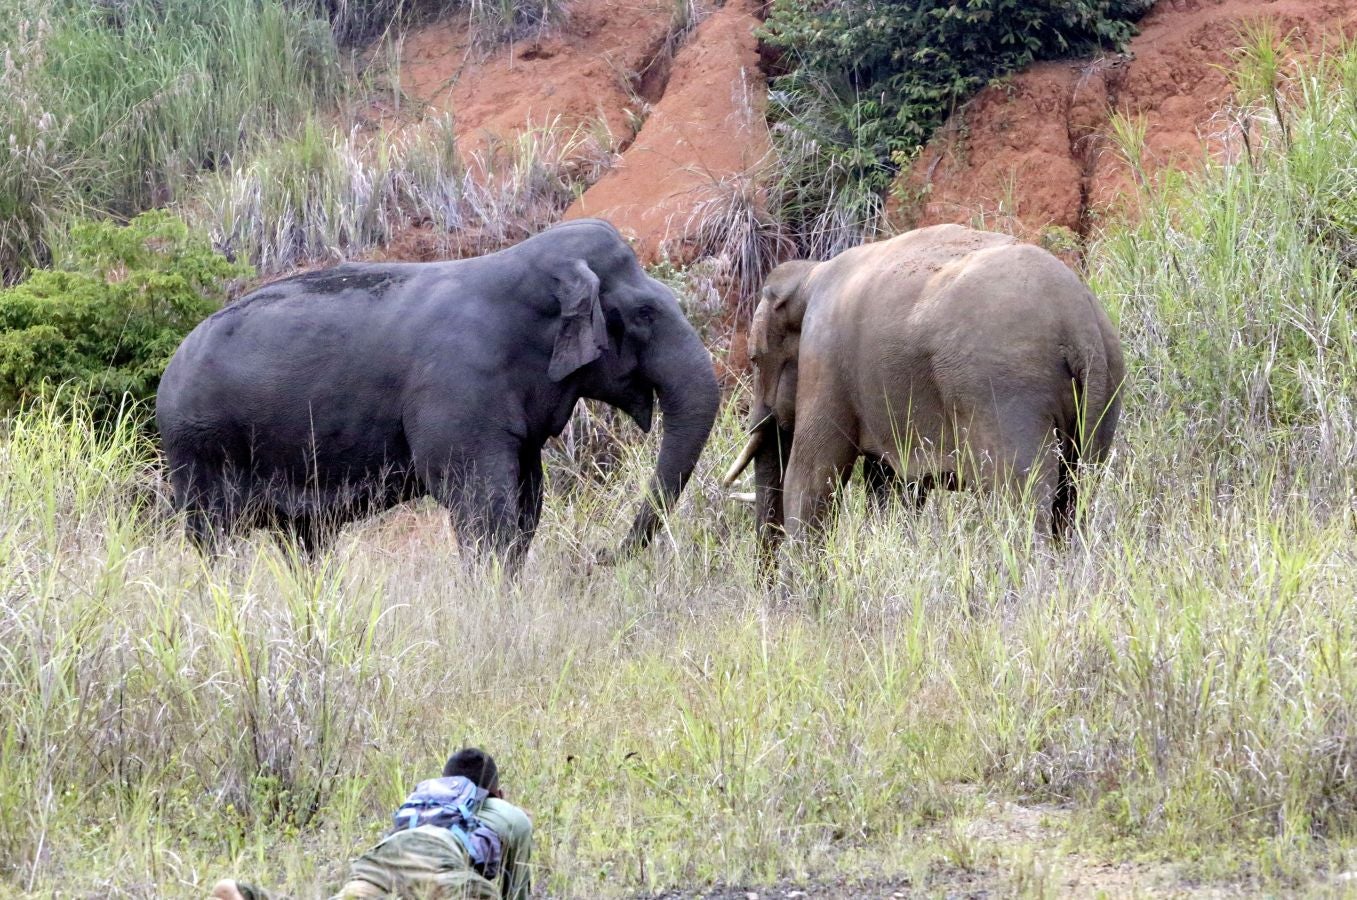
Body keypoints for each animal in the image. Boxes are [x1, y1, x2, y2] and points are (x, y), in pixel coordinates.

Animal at [156, 218, 721, 567]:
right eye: (645, 313)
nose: (599, 556)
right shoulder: (458, 392)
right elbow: (482, 507)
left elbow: (526, 509)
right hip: (199, 447)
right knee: (216, 539)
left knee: (304, 541)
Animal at [721, 223, 1123, 564]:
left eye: (754, 360)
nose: (765, 583)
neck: (809, 276)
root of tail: (1080, 325)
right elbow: (891, 486)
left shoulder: (825, 361)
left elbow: (813, 475)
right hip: (1105, 391)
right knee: (1074, 498)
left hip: (1008, 395)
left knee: (1019, 502)